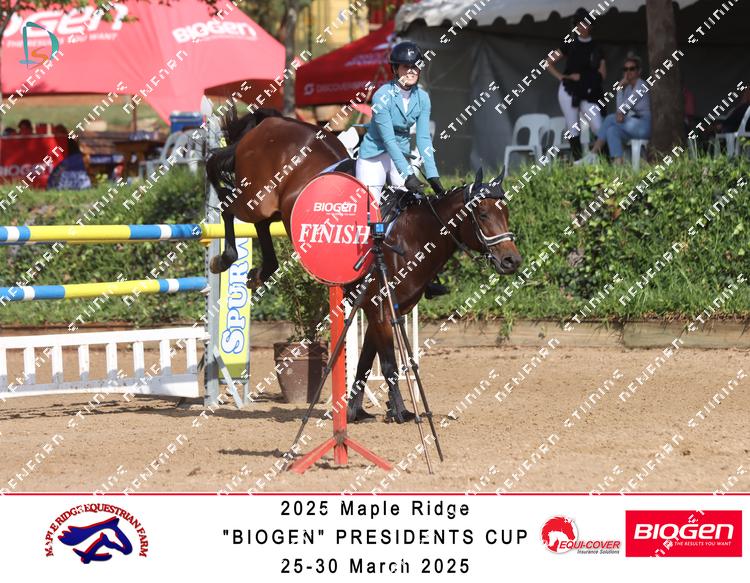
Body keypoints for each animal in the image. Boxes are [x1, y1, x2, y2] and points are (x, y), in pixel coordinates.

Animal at [205, 109, 522, 422]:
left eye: (506, 213)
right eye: (483, 215)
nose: (512, 260)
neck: (413, 235)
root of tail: (272, 121)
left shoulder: (379, 308)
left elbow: (366, 363)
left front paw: (356, 411)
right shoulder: (378, 305)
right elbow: (389, 363)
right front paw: (401, 412)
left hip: (271, 207)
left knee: (258, 222)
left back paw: (262, 271)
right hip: (255, 198)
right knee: (226, 202)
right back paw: (225, 257)